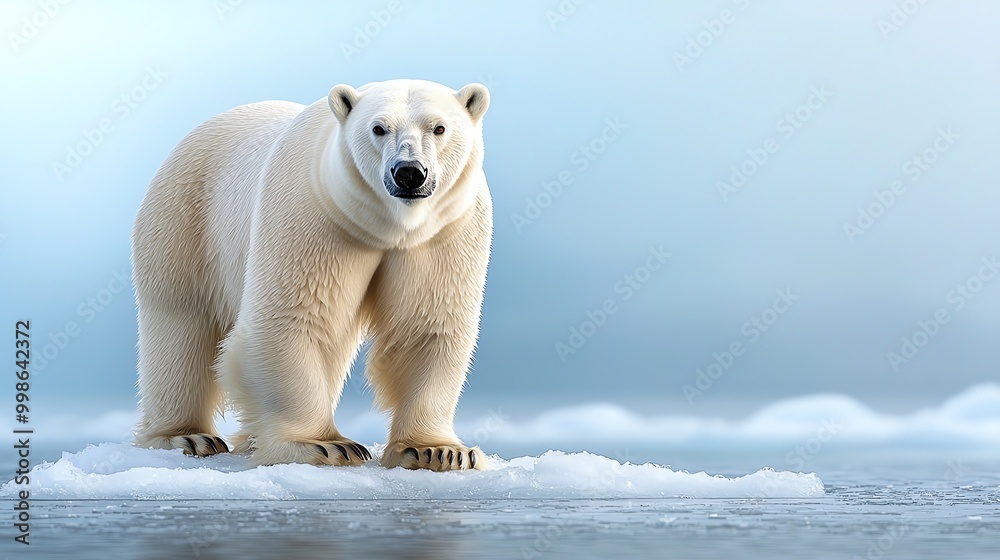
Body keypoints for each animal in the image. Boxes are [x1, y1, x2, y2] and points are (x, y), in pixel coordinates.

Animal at [131, 79, 493, 471]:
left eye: (439, 128)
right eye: (378, 128)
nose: (409, 172)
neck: (391, 227)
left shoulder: (446, 231)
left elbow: (426, 327)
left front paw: (438, 451)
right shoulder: (314, 214)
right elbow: (291, 317)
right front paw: (323, 445)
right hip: (187, 220)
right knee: (181, 322)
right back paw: (187, 436)